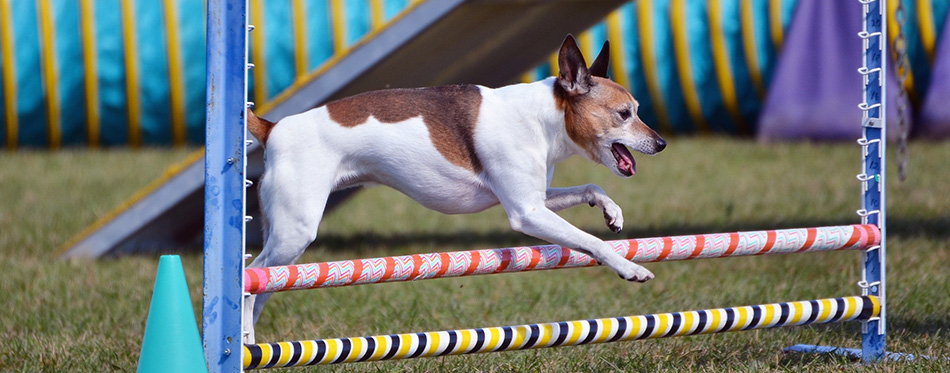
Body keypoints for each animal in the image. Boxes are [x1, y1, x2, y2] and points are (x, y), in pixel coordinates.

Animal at [242, 35, 664, 340]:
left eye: (638, 110)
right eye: (624, 114)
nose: (660, 143)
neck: (544, 117)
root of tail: (273, 128)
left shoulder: (535, 201)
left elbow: (593, 188)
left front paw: (612, 212)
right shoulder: (527, 213)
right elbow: (592, 242)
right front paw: (630, 268)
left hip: (287, 246)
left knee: (265, 285)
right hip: (295, 232)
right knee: (251, 277)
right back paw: (244, 335)